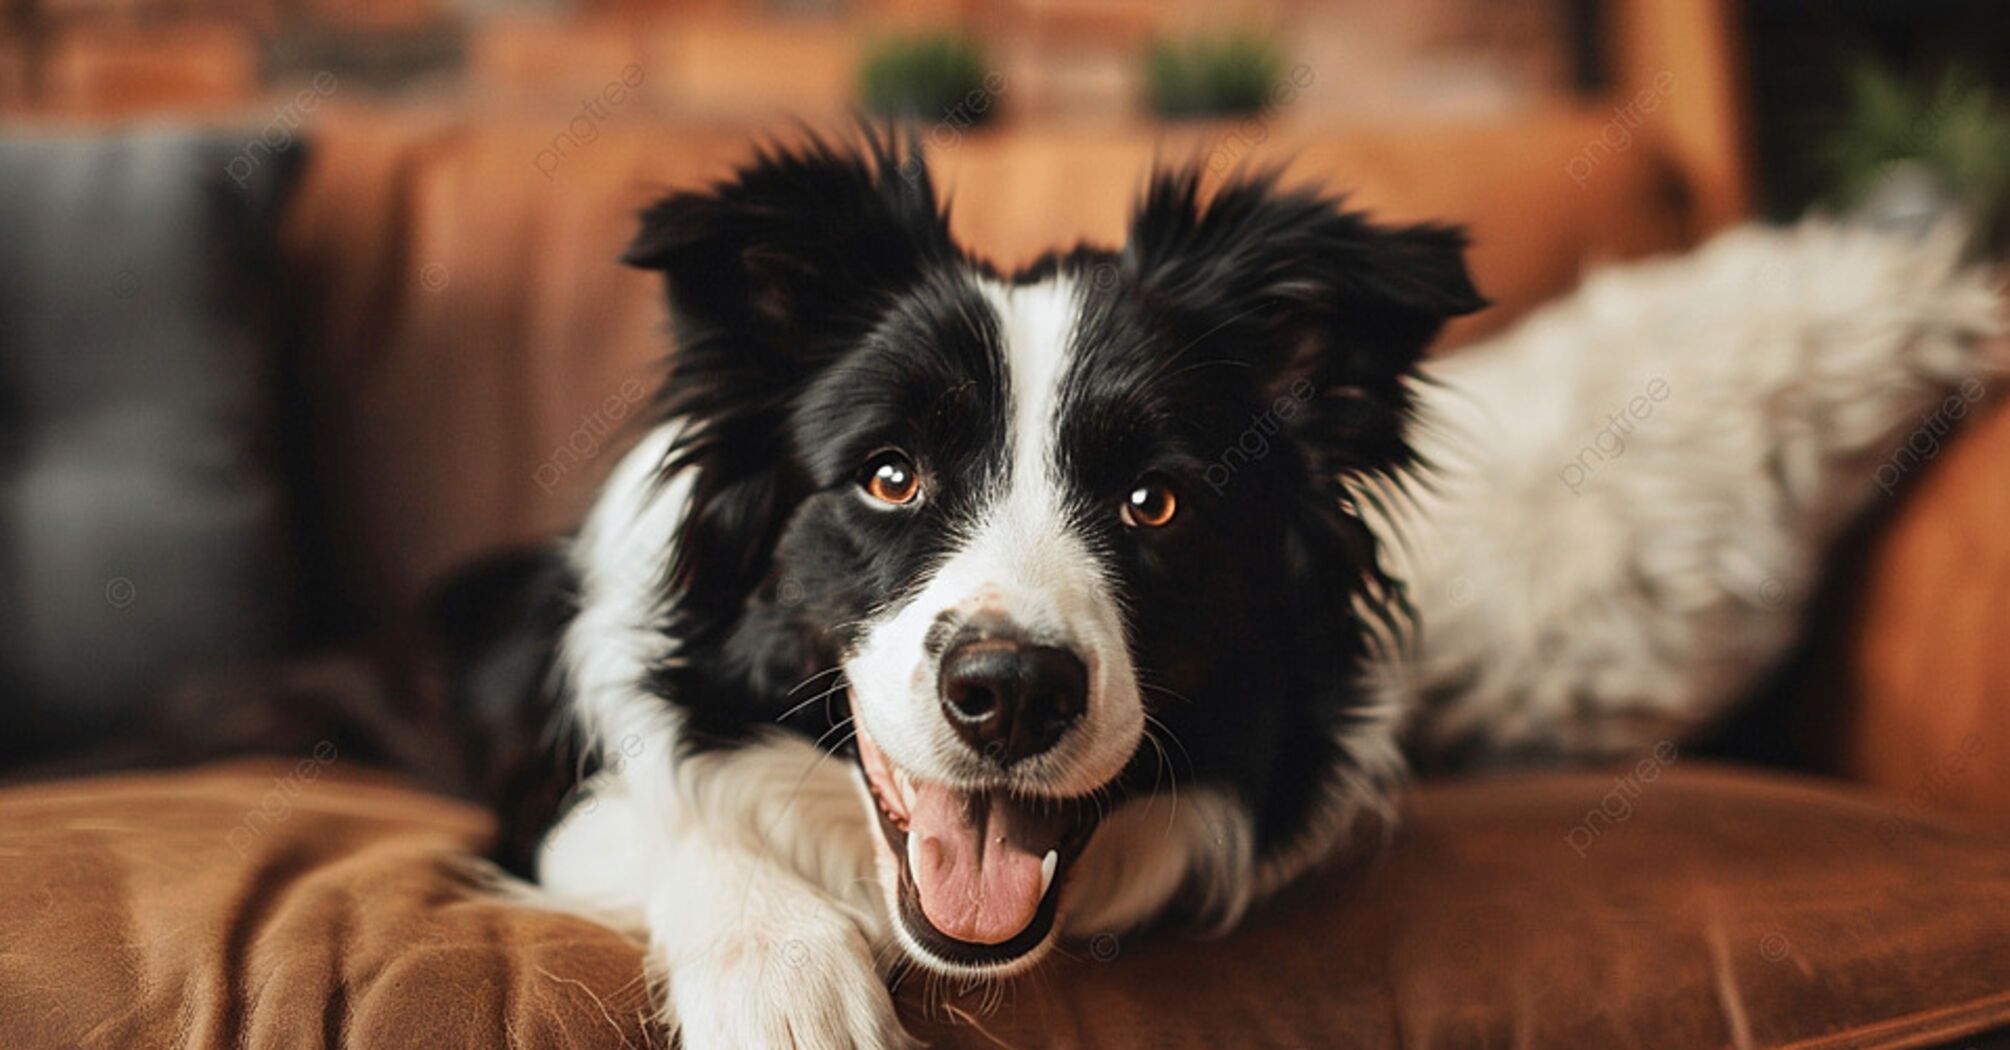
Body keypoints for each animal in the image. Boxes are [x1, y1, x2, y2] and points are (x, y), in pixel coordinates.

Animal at [452, 130, 1479, 1045]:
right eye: (889, 476)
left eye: (1154, 502)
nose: (1014, 693)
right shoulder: (539, 806)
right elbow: (677, 820)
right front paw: (787, 980)